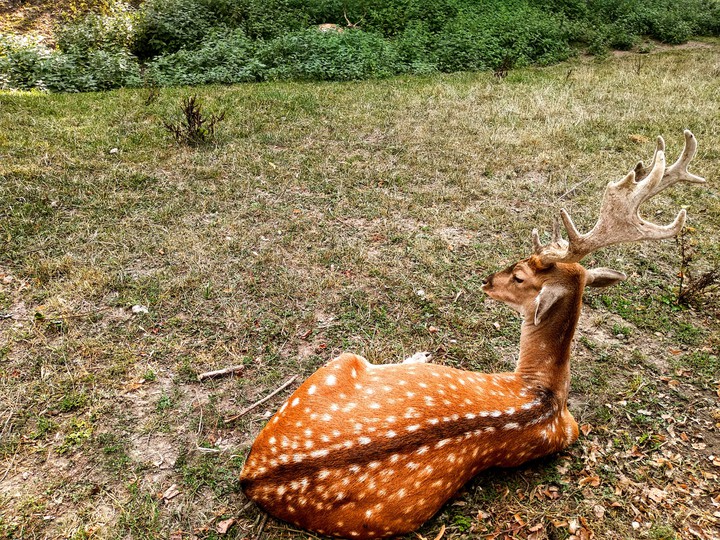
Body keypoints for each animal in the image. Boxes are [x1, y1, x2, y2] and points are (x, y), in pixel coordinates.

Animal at [239, 131, 705, 539]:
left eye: (519, 276)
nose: (486, 280)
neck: (545, 393)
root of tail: (253, 476)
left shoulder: (571, 428)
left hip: (339, 363)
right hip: (337, 366)